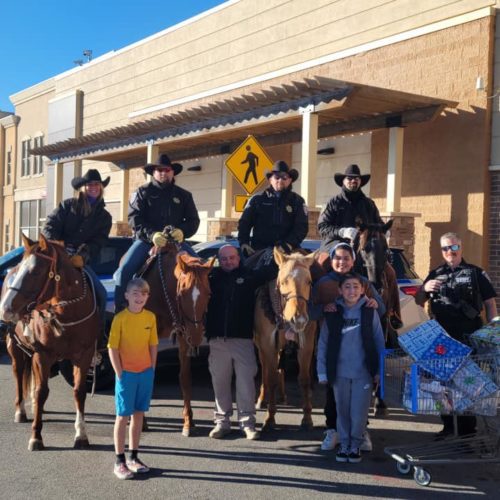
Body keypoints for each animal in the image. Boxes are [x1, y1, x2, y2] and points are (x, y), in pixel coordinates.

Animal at [0, 234, 100, 450]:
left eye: (36, 271)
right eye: (20, 267)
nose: (5, 308)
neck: (67, 313)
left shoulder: (84, 355)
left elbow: (79, 391)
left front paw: (81, 435)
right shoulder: (43, 355)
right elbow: (41, 392)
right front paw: (36, 437)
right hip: (15, 348)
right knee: (19, 374)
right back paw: (21, 410)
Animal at [140, 241, 214, 434]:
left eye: (209, 293)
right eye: (182, 293)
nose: (196, 335)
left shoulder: (182, 334)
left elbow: (185, 377)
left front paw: (188, 420)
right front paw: (141, 421)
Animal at [254, 248, 316, 432]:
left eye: (309, 281)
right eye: (283, 281)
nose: (299, 319)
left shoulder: (306, 345)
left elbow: (304, 380)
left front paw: (307, 418)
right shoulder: (267, 345)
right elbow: (270, 378)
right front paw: (270, 418)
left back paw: (282, 395)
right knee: (266, 371)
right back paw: (262, 398)